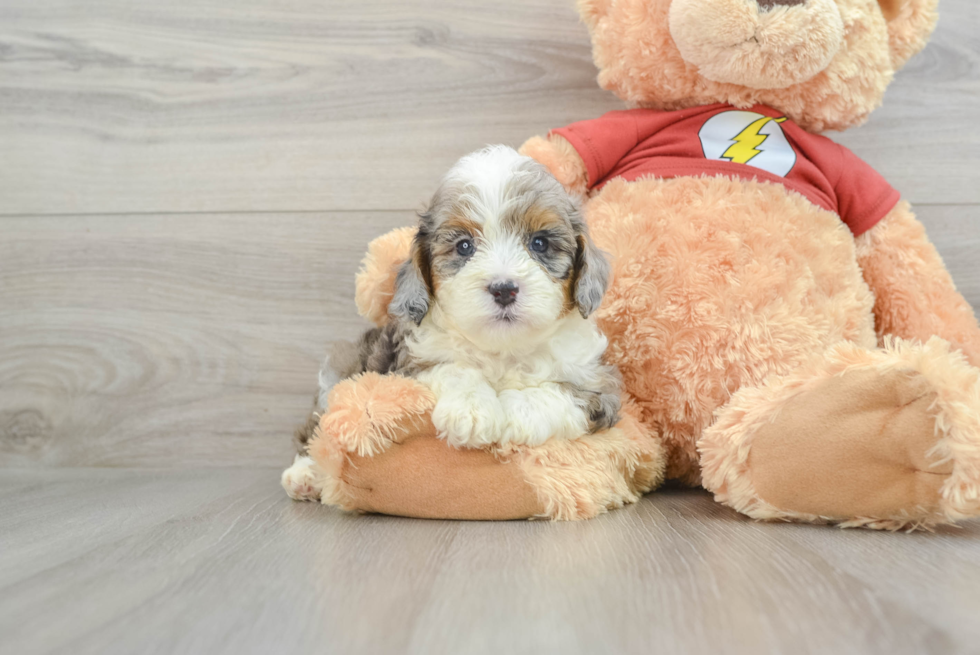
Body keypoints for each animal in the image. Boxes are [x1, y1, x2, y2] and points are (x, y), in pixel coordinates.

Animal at [284, 145, 620, 502]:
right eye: (464, 246)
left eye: (539, 243)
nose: (504, 288)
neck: (504, 348)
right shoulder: (410, 364)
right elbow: (454, 369)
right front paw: (471, 411)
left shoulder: (601, 387)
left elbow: (561, 391)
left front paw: (517, 412)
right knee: (316, 428)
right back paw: (304, 474)